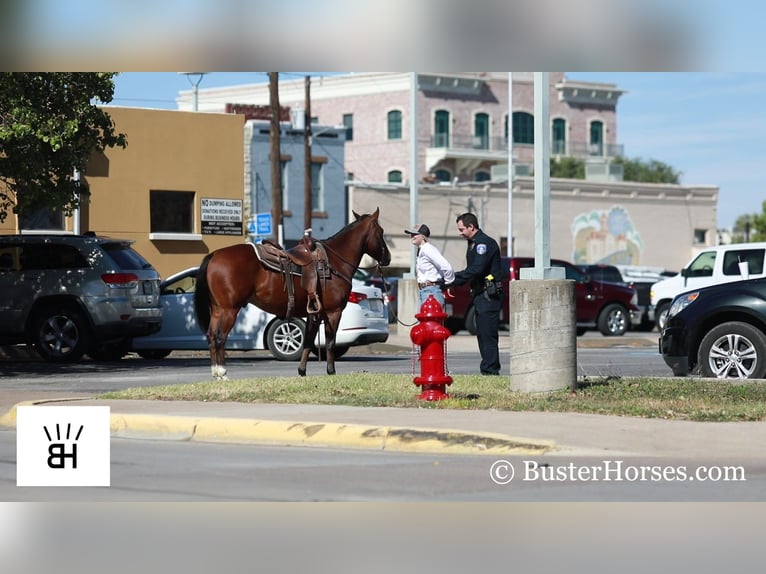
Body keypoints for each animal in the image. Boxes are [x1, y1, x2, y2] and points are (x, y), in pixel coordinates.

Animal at [195, 209, 392, 380]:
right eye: (381, 231)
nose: (388, 258)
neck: (334, 262)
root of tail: (214, 256)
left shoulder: (315, 313)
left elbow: (308, 341)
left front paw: (302, 371)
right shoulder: (333, 312)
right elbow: (330, 341)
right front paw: (331, 371)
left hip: (218, 309)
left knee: (211, 336)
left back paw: (216, 373)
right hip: (229, 309)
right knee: (220, 337)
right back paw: (222, 373)